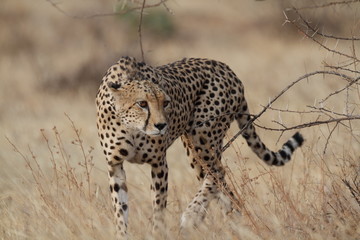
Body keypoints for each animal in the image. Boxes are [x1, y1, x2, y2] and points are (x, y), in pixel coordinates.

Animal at [95, 56, 304, 238]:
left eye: (166, 103)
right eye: (142, 104)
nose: (162, 125)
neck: (132, 127)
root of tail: (226, 68)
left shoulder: (159, 164)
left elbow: (158, 209)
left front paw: (157, 233)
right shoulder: (115, 165)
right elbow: (120, 210)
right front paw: (121, 234)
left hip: (201, 136)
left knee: (218, 172)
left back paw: (192, 215)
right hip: (195, 147)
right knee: (222, 186)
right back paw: (233, 222)